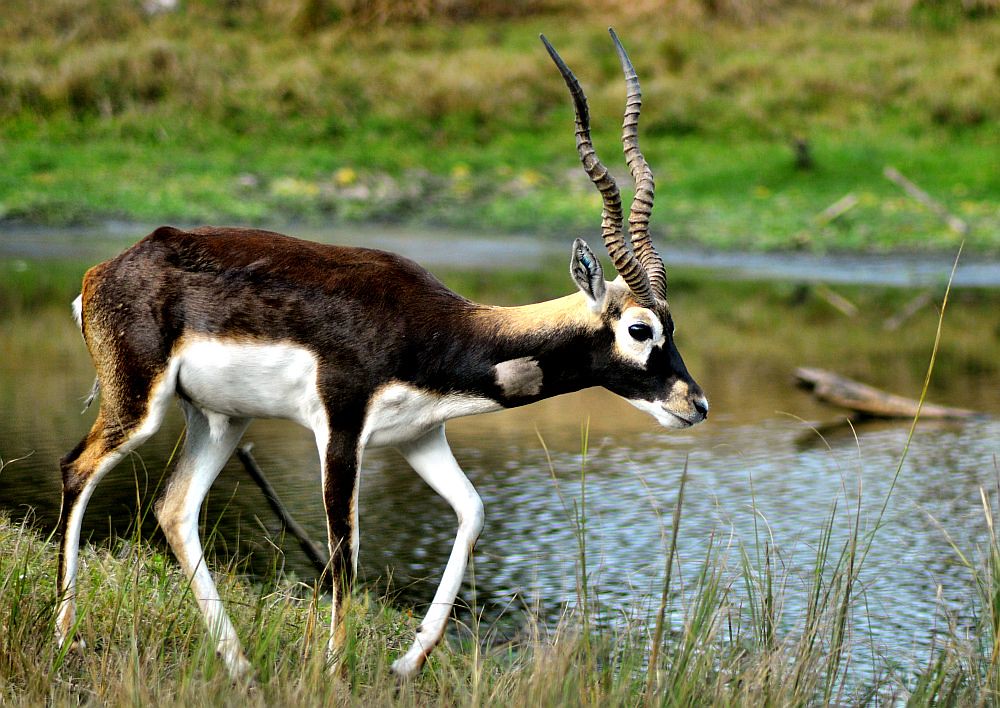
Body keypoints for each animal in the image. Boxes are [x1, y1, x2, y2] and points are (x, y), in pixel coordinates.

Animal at [55, 29, 708, 680]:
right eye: (641, 330)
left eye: (673, 326)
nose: (696, 405)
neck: (441, 330)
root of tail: (105, 270)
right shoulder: (341, 429)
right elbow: (346, 551)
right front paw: (334, 670)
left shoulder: (419, 436)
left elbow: (472, 512)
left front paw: (407, 660)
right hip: (138, 405)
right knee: (78, 468)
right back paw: (66, 639)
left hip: (221, 419)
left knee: (174, 508)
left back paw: (238, 665)